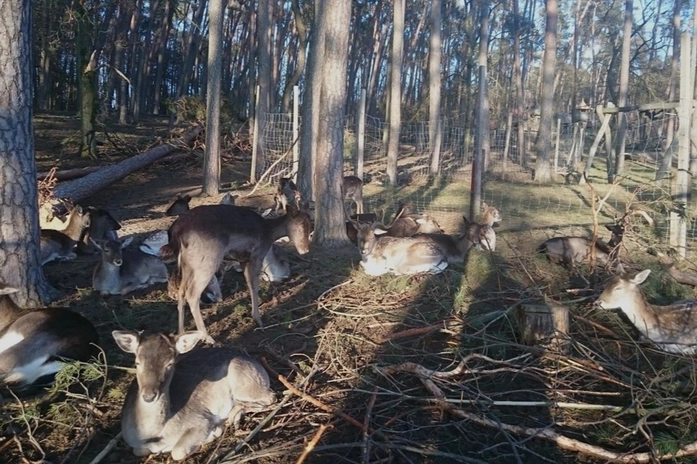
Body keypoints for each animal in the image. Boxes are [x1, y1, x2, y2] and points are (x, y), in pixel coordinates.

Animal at [113, 330, 276, 460]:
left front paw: (214, 432)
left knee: (270, 398)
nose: (149, 396)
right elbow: (138, 451)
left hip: (247, 383)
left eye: (170, 363)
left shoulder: (200, 420)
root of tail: (253, 360)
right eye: (137, 362)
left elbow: (177, 451)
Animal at [160, 204, 312, 340]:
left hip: (187, 264)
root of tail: (175, 234)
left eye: (310, 225)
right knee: (192, 294)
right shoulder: (256, 255)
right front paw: (258, 319)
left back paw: (181, 333)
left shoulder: (243, 260)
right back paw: (207, 337)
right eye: (299, 226)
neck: (270, 232)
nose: (305, 250)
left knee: (182, 291)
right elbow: (254, 285)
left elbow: (249, 283)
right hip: (206, 261)